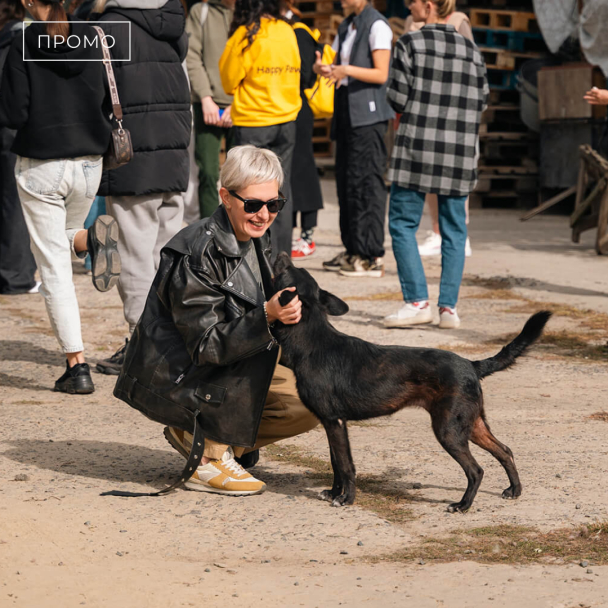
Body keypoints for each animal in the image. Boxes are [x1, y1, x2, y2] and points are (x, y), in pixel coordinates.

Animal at [274, 252, 552, 512]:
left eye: (286, 270)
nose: (280, 253)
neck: (312, 340)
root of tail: (472, 365)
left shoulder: (335, 422)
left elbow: (345, 464)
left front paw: (346, 498)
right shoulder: (331, 422)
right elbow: (335, 463)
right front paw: (333, 492)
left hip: (449, 431)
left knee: (476, 470)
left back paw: (462, 505)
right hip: (472, 425)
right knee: (505, 451)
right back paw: (515, 490)